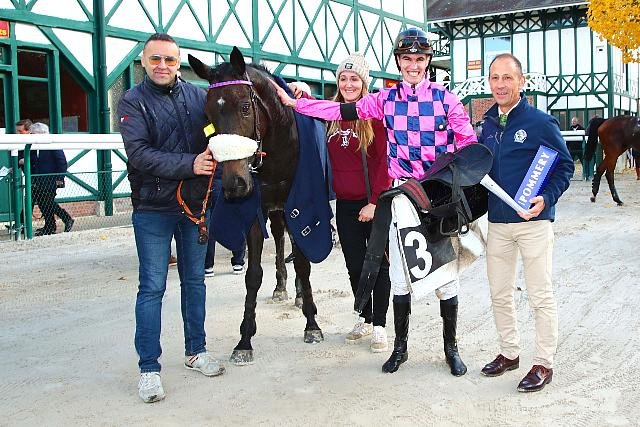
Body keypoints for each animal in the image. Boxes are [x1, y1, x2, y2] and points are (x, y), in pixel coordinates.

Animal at [188, 48, 325, 365]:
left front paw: (311, 324)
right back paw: (282, 287)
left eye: (245, 107)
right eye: (208, 115)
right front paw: (244, 339)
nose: (234, 183)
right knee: (279, 238)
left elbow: (303, 263)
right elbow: (253, 275)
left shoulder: (297, 203)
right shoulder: (256, 209)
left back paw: (299, 294)